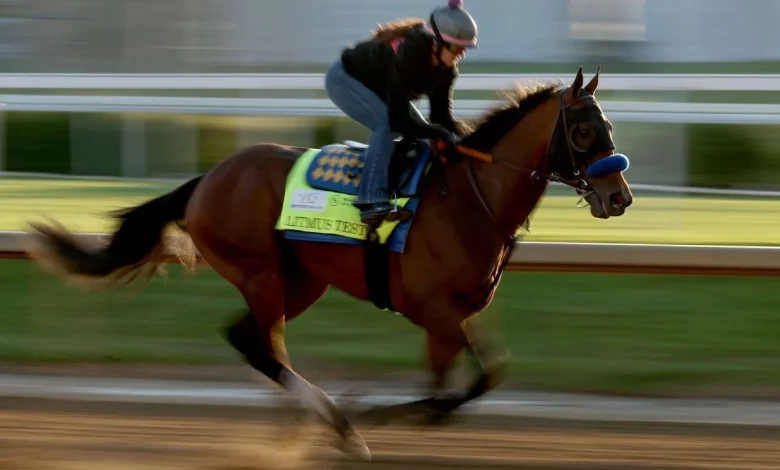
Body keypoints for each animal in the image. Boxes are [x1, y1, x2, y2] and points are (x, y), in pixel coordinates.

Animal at [23, 67, 632, 461]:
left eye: (609, 128)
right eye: (583, 130)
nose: (619, 196)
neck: (468, 197)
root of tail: (208, 178)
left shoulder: (457, 312)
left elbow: (482, 376)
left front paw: (408, 413)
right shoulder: (434, 312)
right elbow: (455, 386)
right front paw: (373, 414)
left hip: (300, 280)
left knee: (253, 340)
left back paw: (310, 423)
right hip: (262, 272)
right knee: (261, 346)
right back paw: (336, 423)